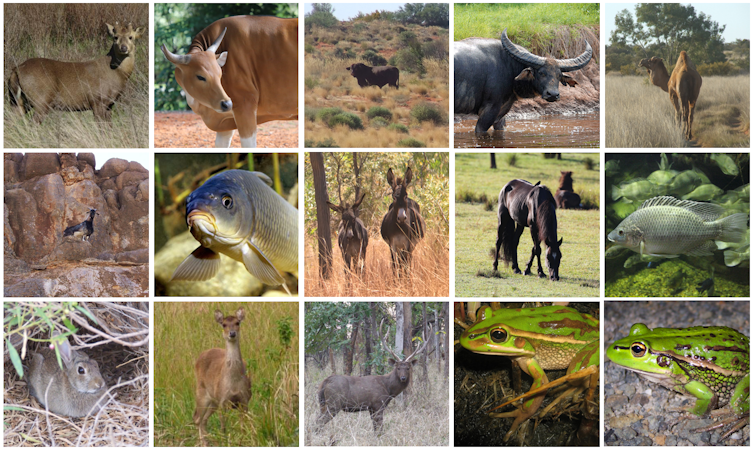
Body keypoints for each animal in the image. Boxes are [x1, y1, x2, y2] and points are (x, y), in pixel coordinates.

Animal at [7, 22, 144, 122]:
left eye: (131, 37)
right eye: (115, 37)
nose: (124, 48)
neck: (117, 73)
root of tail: (16, 70)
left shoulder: (110, 104)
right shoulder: (98, 100)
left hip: (17, 101)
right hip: (41, 98)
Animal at [192, 308, 251, 446]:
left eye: (237, 322)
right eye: (224, 324)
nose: (232, 333)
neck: (234, 384)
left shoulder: (244, 400)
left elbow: (243, 428)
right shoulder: (223, 401)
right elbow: (223, 428)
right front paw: (225, 442)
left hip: (213, 401)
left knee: (203, 419)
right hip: (202, 392)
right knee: (197, 418)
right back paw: (204, 443)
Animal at [452, 28, 592, 137]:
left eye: (559, 75)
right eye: (541, 73)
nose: (552, 94)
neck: (509, 67)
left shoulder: (501, 113)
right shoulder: (488, 111)